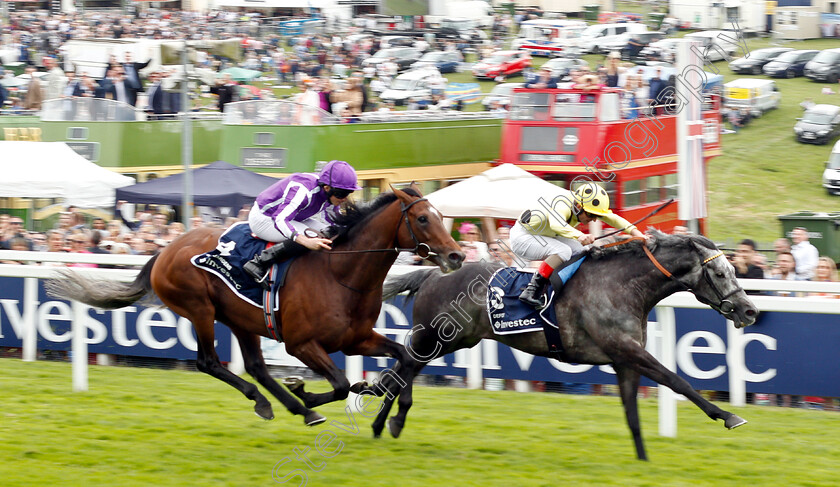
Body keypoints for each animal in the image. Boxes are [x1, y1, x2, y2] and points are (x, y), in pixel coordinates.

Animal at [46, 187, 466, 428]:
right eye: (423, 218)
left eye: (443, 217)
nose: (457, 255)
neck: (340, 273)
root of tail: (164, 250)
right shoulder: (302, 344)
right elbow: (341, 384)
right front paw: (309, 390)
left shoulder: (356, 339)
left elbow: (404, 358)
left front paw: (390, 407)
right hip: (199, 309)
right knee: (209, 362)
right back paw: (275, 403)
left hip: (241, 320)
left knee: (256, 366)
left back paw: (295, 409)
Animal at [370, 233, 756, 462]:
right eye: (720, 274)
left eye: (733, 270)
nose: (749, 310)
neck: (623, 286)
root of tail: (433, 273)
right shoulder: (628, 351)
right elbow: (677, 381)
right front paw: (728, 416)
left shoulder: (624, 361)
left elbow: (632, 413)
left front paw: (643, 460)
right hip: (438, 337)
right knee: (403, 369)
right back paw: (393, 419)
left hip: (451, 340)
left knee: (399, 371)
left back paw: (380, 423)